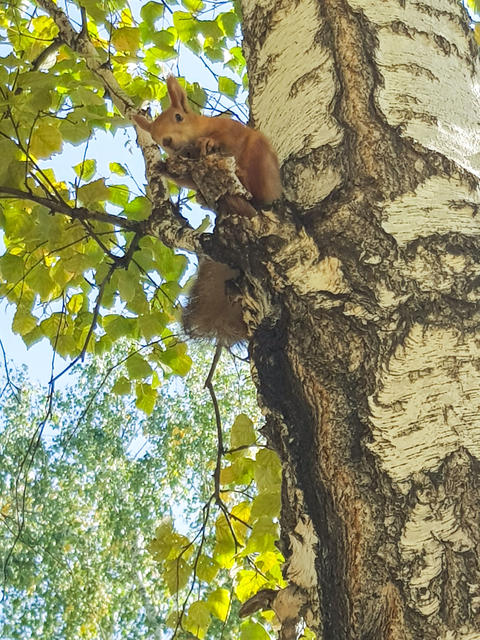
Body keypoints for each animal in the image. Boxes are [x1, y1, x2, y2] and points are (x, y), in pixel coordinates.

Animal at [133, 76, 282, 344]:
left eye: (179, 117)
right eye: (156, 138)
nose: (167, 142)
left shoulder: (229, 129)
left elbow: (227, 138)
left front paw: (209, 142)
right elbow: (184, 178)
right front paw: (163, 168)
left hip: (261, 161)